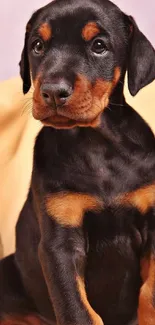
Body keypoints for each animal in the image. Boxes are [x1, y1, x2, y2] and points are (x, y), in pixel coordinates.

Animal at [0, 0, 155, 322]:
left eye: (99, 45)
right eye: (37, 46)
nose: (52, 92)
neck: (95, 142)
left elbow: (150, 293)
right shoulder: (60, 242)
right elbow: (77, 310)